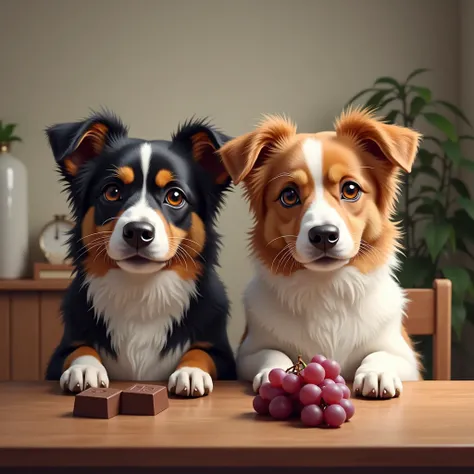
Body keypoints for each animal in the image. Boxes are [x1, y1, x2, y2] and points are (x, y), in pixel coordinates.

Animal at [218, 109, 422, 398]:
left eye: (350, 189)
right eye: (289, 195)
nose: (324, 235)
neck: (327, 287)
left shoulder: (406, 357)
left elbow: (381, 354)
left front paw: (378, 373)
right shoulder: (248, 352)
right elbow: (272, 353)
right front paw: (274, 374)